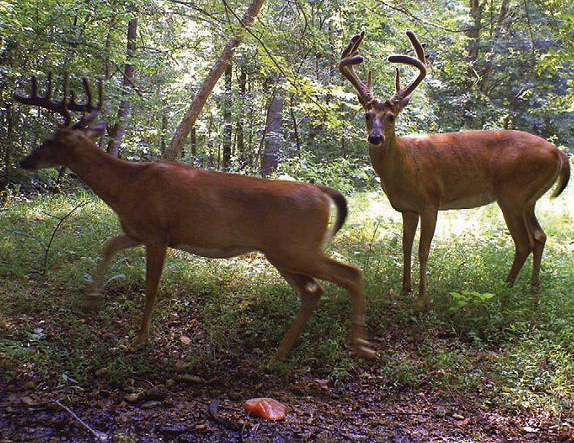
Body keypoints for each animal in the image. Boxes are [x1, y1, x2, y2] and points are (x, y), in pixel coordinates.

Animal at [14, 73, 378, 360]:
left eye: (51, 139)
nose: (24, 162)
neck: (127, 186)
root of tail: (322, 193)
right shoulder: (137, 230)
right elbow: (109, 245)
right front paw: (91, 296)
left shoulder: (158, 232)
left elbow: (151, 288)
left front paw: (139, 339)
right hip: (280, 252)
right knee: (313, 291)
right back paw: (280, 353)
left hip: (295, 246)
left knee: (351, 273)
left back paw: (358, 343)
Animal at [342, 31, 572, 308]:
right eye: (366, 115)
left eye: (391, 116)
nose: (375, 137)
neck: (404, 165)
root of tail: (558, 152)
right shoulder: (407, 208)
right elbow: (405, 246)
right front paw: (404, 290)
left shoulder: (430, 202)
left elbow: (423, 250)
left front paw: (421, 298)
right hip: (529, 198)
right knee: (540, 237)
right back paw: (533, 292)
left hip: (513, 194)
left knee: (524, 242)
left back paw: (505, 292)